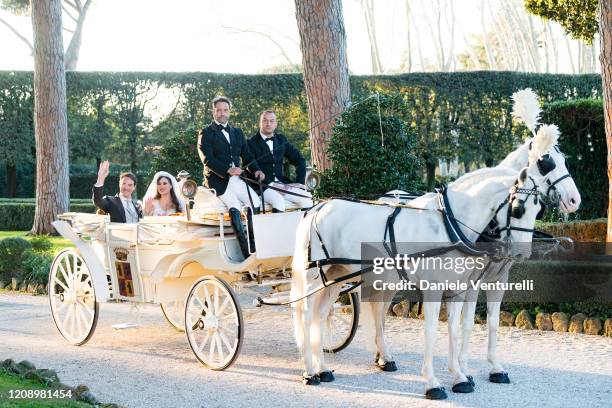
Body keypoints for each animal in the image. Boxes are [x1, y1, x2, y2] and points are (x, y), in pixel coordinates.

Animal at [290, 138, 556, 398]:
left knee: (321, 316)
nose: (521, 253)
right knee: (305, 315)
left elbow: (454, 330)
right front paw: (432, 383)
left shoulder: (457, 289)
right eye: (518, 209)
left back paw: (323, 369)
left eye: (538, 209)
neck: (449, 224)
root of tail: (318, 207)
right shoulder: (434, 289)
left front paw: (459, 377)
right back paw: (309, 371)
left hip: (335, 277)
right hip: (314, 279)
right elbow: (431, 332)